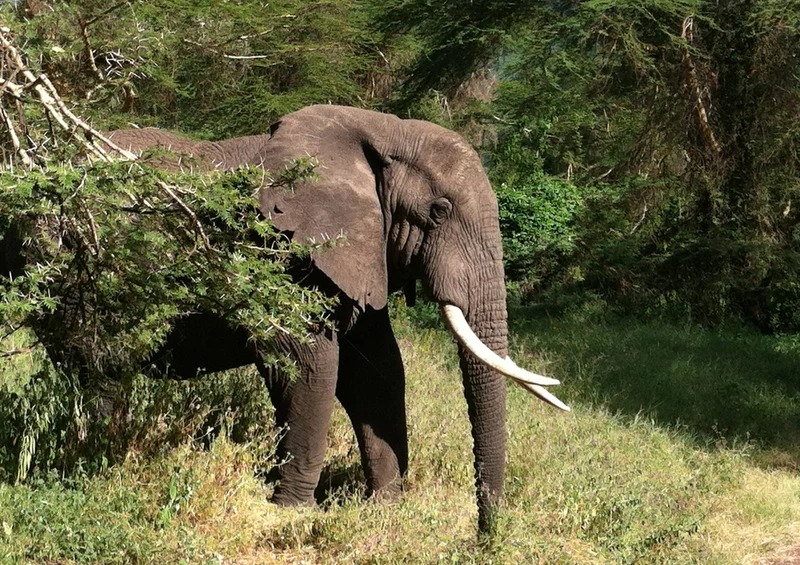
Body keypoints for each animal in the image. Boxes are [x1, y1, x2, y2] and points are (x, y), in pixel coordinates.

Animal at [6, 105, 568, 533]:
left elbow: (378, 372)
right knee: (98, 364)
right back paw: (97, 461)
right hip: (72, 262)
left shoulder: (359, 251)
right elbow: (307, 364)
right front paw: (292, 512)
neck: (377, 129)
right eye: (439, 211)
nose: (486, 534)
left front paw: (385, 509)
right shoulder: (281, 249)